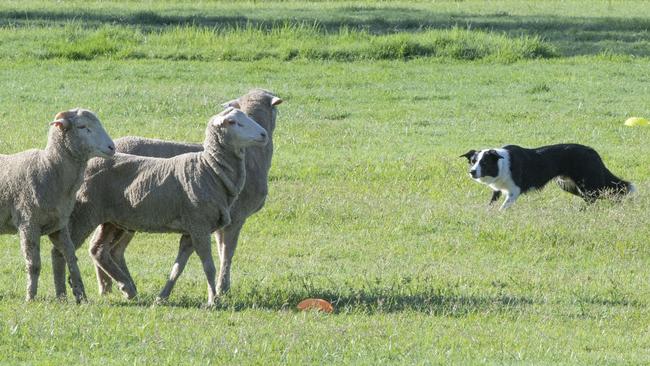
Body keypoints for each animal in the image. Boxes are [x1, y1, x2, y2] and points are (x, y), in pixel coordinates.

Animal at [0, 108, 115, 304]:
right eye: (82, 126)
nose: (112, 147)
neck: (49, 168)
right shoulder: (28, 223)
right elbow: (34, 264)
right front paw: (30, 297)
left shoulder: (59, 226)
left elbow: (71, 258)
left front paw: (80, 296)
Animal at [52, 88, 278, 300]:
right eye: (233, 122)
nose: (263, 135)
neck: (210, 166)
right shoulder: (223, 221)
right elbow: (222, 257)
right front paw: (219, 293)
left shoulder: (196, 228)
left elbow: (180, 265)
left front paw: (164, 296)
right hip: (89, 214)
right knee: (71, 249)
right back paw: (86, 290)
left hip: (115, 220)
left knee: (102, 250)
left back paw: (125, 287)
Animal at [460, 144, 632, 210]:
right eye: (473, 161)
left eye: (484, 162)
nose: (472, 172)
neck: (501, 164)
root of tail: (592, 151)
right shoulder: (497, 190)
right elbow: (491, 204)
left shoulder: (514, 191)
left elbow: (503, 207)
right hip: (570, 185)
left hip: (588, 184)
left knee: (610, 191)